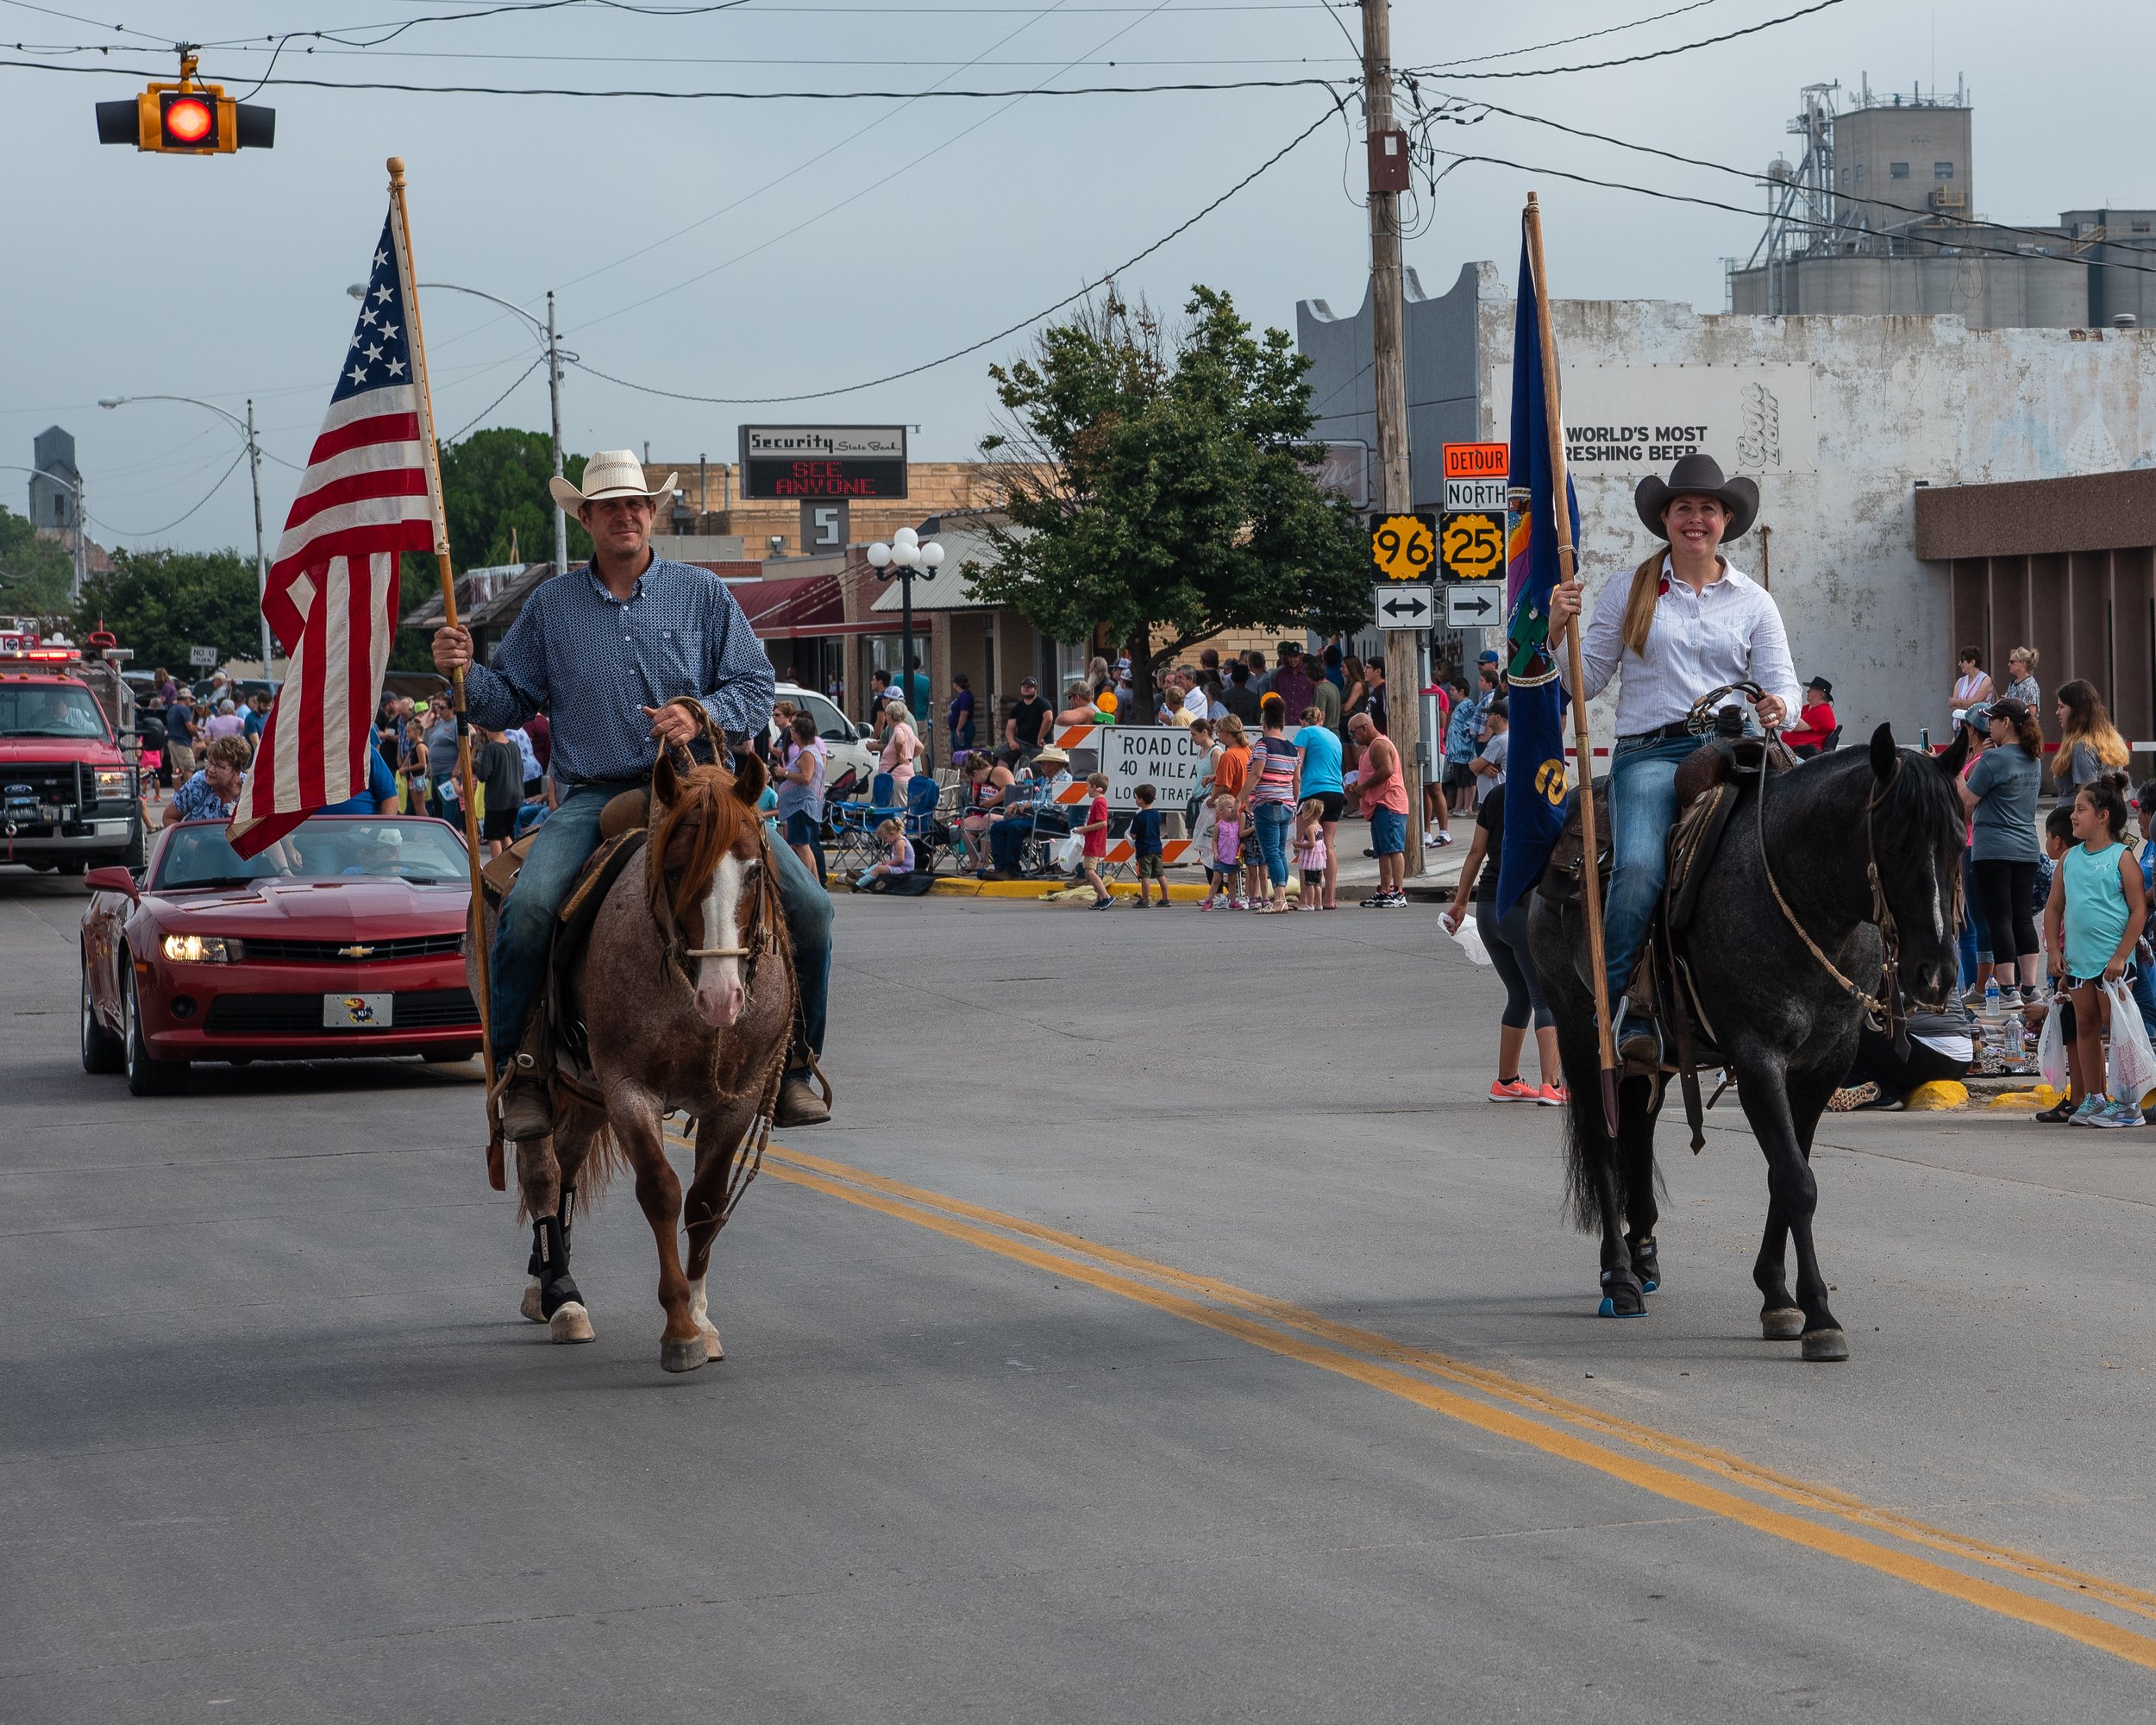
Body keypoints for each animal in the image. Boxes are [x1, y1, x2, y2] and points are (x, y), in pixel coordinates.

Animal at [489, 755, 793, 1371]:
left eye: (754, 872)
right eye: (674, 872)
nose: (721, 998)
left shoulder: (739, 1097)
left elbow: (706, 1201)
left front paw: (703, 1319)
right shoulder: (629, 1087)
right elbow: (661, 1190)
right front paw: (679, 1328)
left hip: (584, 1086)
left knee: (567, 1161)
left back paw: (548, 1282)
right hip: (552, 1077)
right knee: (541, 1170)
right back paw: (562, 1298)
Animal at [1526, 720, 1966, 1354]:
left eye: (1958, 839)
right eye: (1899, 842)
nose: (1936, 974)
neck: (1801, 897)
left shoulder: (1825, 1065)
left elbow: (1788, 1174)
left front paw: (1777, 1295)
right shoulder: (1758, 1058)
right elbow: (1797, 1182)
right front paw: (1817, 1315)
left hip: (1655, 1057)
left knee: (1638, 1130)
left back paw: (1644, 1256)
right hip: (1579, 1030)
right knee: (1604, 1139)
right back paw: (1619, 1277)